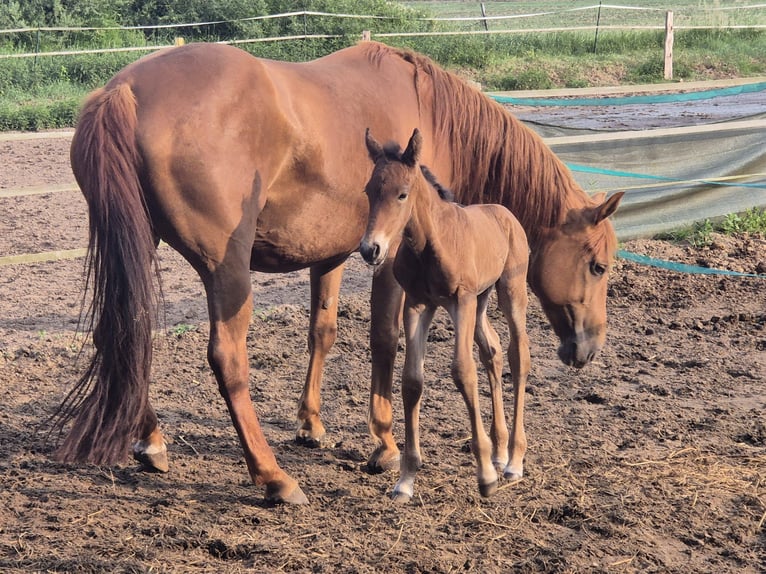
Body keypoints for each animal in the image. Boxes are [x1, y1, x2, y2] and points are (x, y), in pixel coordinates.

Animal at [360, 128, 530, 501]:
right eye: (369, 191)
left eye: (402, 194)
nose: (370, 249)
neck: (431, 244)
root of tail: (505, 213)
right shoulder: (417, 304)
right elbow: (412, 380)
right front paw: (406, 479)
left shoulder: (459, 301)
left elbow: (463, 372)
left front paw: (485, 476)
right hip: (482, 300)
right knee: (493, 351)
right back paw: (500, 451)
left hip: (509, 291)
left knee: (518, 355)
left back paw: (512, 461)